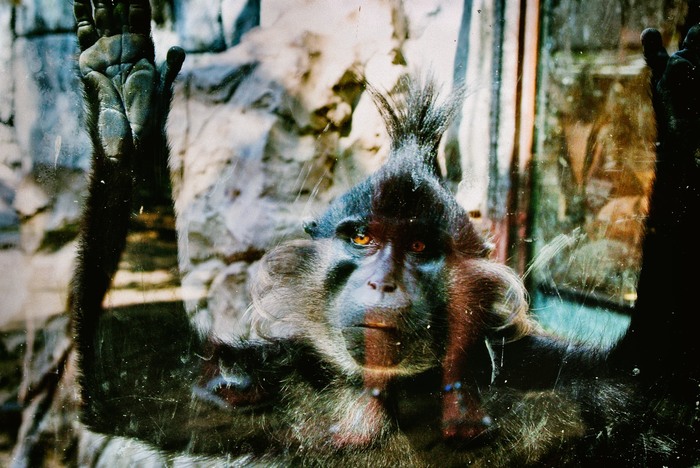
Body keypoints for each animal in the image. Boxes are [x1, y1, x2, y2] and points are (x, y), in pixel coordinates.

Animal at [69, 1, 700, 466]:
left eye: (420, 248)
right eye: (362, 240)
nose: (382, 284)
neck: (393, 395)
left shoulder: (537, 379)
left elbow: (654, 398)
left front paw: (684, 111)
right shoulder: (289, 377)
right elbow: (143, 376)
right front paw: (126, 101)